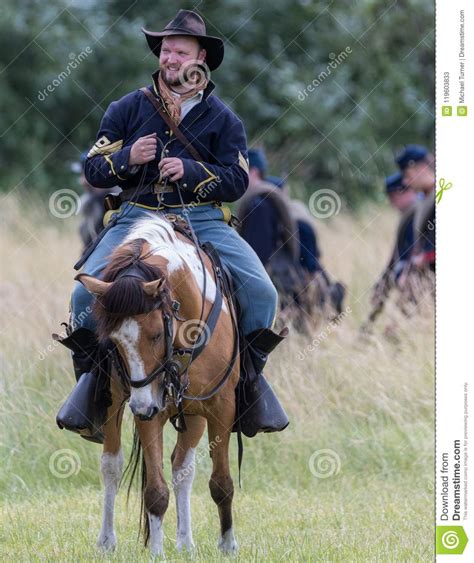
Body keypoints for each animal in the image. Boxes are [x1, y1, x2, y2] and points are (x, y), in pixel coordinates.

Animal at [78, 215, 241, 560]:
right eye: (113, 341)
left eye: (154, 334)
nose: (142, 406)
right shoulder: (149, 409)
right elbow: (154, 490)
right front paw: (155, 551)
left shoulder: (220, 405)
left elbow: (221, 483)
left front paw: (228, 544)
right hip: (119, 404)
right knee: (111, 466)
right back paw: (107, 541)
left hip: (191, 412)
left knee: (183, 470)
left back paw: (186, 542)